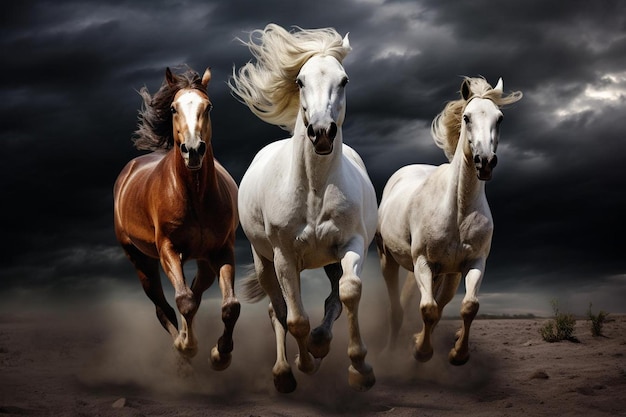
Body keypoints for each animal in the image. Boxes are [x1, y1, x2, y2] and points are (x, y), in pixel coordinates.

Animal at [112, 63, 239, 368]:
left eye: (209, 106)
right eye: (173, 108)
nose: (193, 150)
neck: (194, 195)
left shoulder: (223, 249)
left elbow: (230, 306)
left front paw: (221, 354)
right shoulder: (168, 249)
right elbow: (184, 301)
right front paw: (188, 346)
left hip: (205, 261)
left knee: (195, 291)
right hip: (141, 260)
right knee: (164, 308)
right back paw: (180, 347)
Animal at [229, 24, 376, 392]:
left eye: (344, 80)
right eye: (299, 81)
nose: (321, 133)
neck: (314, 191)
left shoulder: (350, 244)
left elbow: (348, 293)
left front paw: (359, 367)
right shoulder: (284, 255)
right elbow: (294, 319)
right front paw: (303, 363)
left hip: (330, 260)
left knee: (331, 298)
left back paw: (321, 344)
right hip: (264, 262)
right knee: (276, 311)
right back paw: (284, 372)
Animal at [376, 77, 520, 364]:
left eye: (499, 118)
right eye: (466, 117)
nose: (485, 162)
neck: (458, 211)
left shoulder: (474, 262)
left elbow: (468, 307)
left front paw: (458, 354)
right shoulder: (423, 261)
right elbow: (428, 309)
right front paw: (421, 352)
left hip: (449, 274)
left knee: (439, 305)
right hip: (388, 258)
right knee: (397, 309)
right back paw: (390, 352)